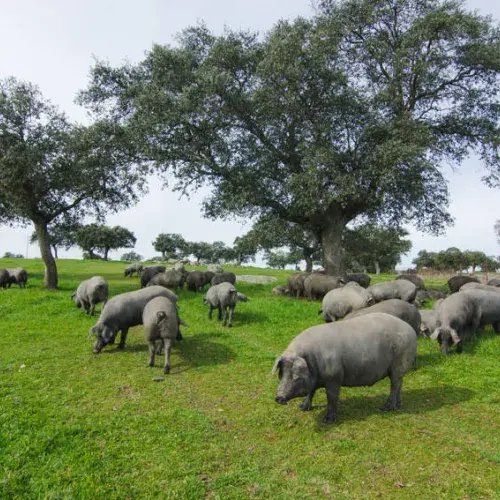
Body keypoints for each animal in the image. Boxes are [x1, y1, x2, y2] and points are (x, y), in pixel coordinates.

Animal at [272, 314, 416, 424]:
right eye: (281, 373)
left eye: (295, 376)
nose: (278, 397)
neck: (311, 360)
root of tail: (410, 329)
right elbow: (311, 392)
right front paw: (302, 408)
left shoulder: (334, 378)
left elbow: (331, 398)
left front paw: (327, 421)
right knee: (399, 384)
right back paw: (398, 406)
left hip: (399, 364)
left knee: (394, 385)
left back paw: (385, 408)